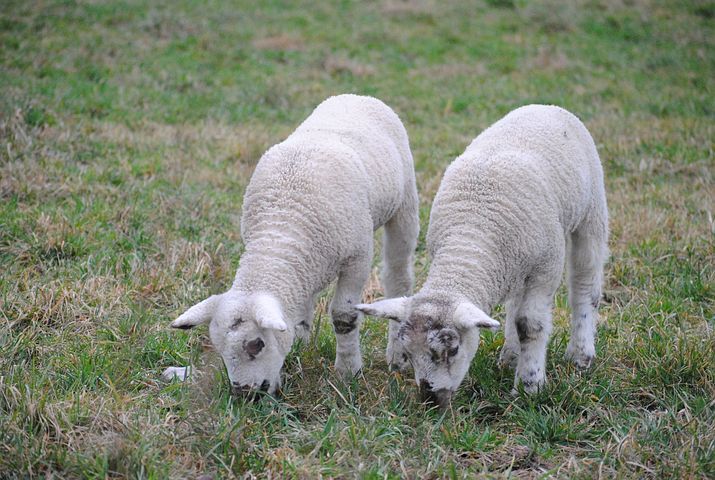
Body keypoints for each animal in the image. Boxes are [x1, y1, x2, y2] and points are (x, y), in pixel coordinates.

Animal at [169, 94, 419, 397]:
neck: (282, 229)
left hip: (404, 203)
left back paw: (397, 354)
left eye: (257, 344)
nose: (244, 393)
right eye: (219, 349)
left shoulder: (357, 257)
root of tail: (356, 96)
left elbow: (344, 316)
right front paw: (298, 347)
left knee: (398, 275)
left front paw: (348, 371)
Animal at [356, 104, 608, 407]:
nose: (430, 399)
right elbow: (518, 317)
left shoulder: (545, 267)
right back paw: (510, 355)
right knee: (516, 304)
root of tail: (543, 106)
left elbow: (530, 325)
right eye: (408, 353)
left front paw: (530, 387)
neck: (472, 237)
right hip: (519, 262)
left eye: (453, 350)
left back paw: (580, 354)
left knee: (585, 284)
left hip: (592, 210)